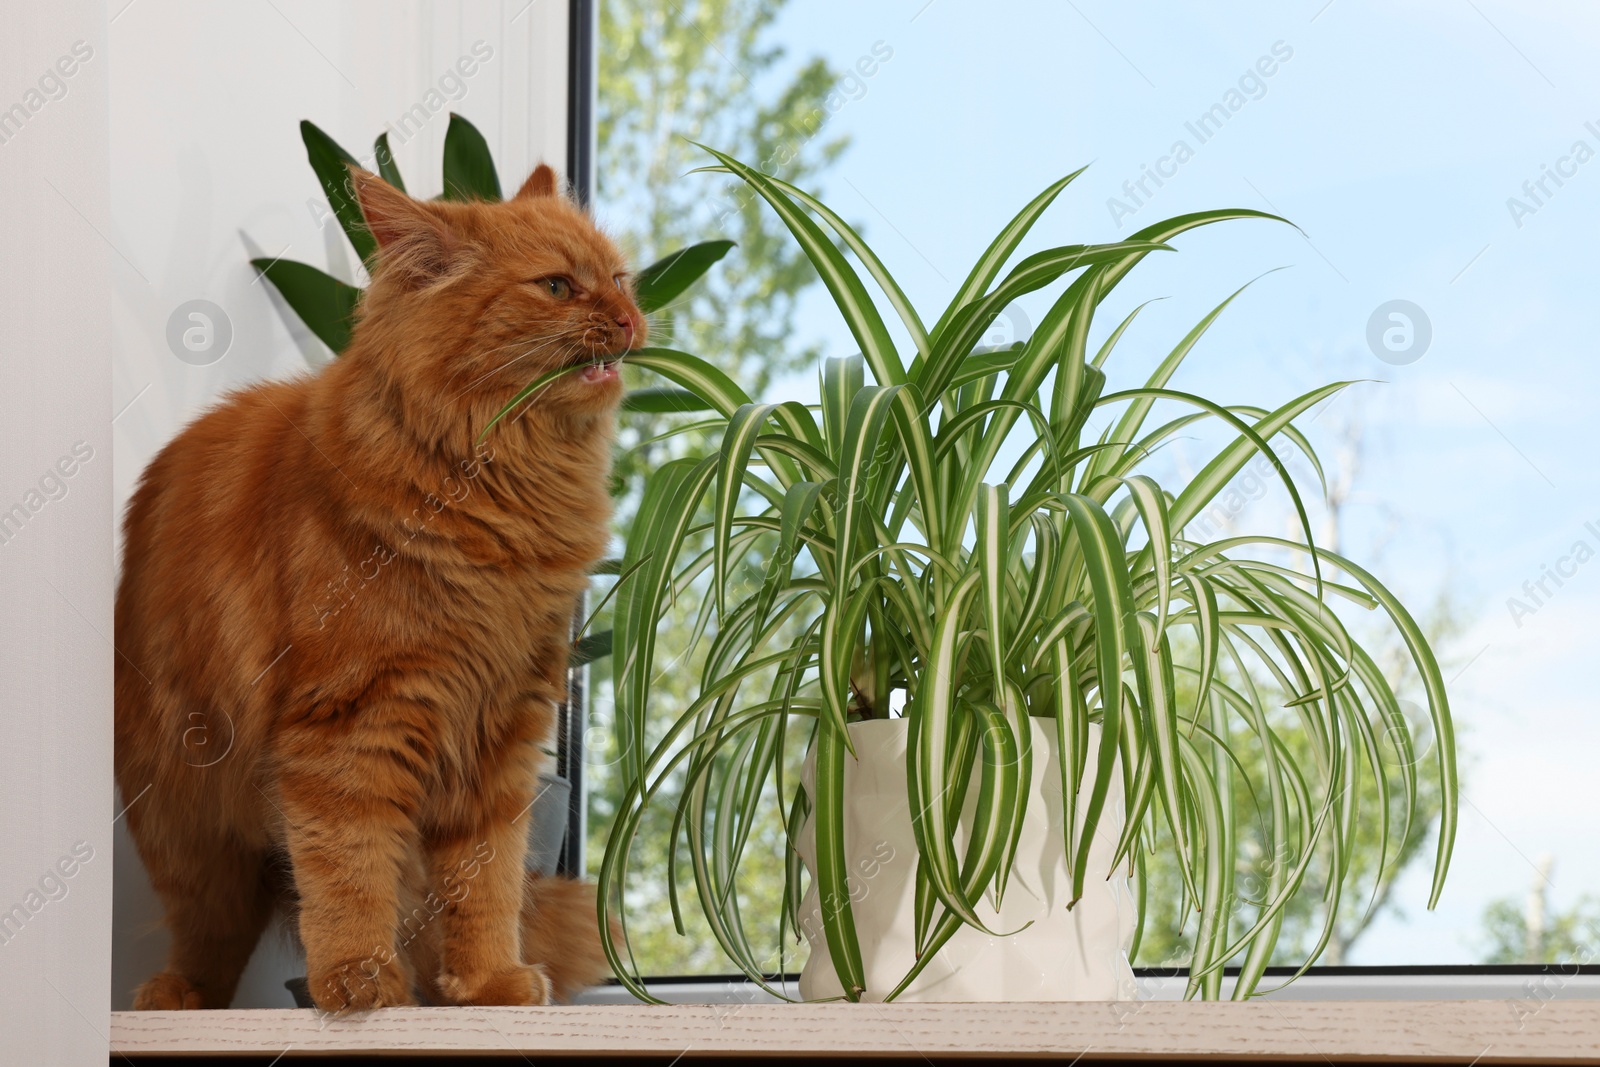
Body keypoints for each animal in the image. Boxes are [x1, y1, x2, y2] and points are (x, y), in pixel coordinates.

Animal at [114, 160, 636, 1011]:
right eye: (558, 286)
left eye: (621, 280)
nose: (629, 319)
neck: (503, 495)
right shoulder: (351, 719)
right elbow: (349, 866)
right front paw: (358, 981)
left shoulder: (502, 730)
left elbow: (485, 878)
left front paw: (487, 981)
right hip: (186, 810)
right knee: (210, 927)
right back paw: (179, 994)